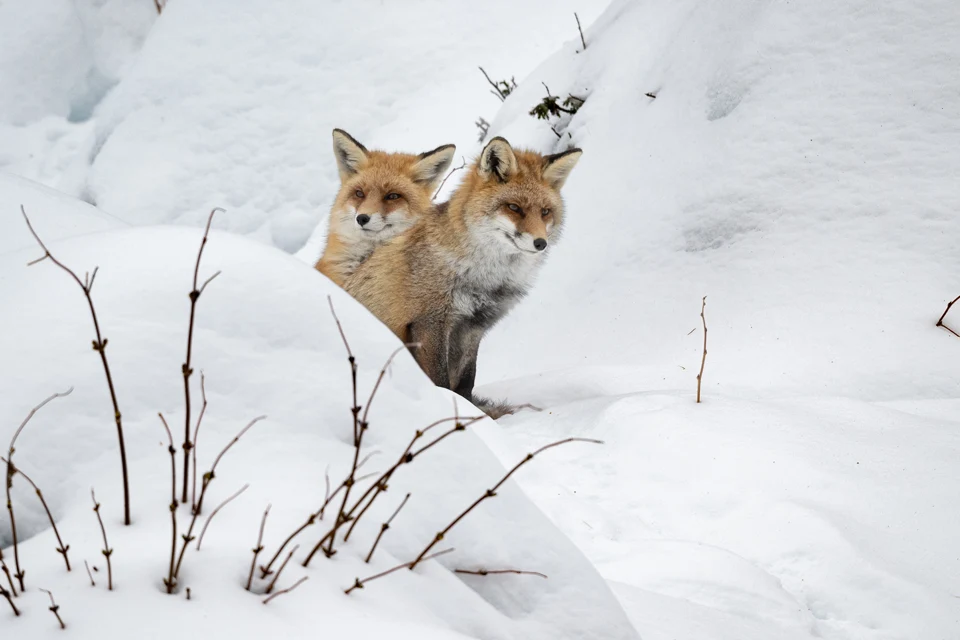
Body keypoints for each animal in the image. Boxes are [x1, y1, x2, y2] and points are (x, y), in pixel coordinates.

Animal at [346, 136, 580, 416]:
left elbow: (466, 381)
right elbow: (440, 380)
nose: (540, 243)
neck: (485, 278)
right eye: (514, 207)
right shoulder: (429, 322)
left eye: (545, 211)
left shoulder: (473, 326)